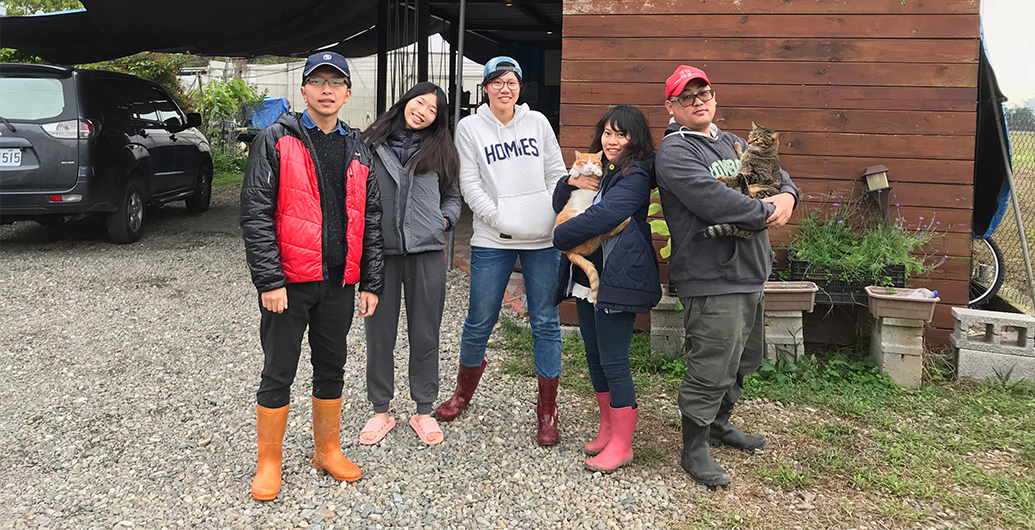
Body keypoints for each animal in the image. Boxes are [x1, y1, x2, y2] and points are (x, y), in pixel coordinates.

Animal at [558, 151, 629, 304]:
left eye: (595, 162)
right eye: (585, 162)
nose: (590, 168)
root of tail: (567, 251)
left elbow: (601, 173)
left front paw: (597, 171)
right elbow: (573, 170)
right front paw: (574, 174)